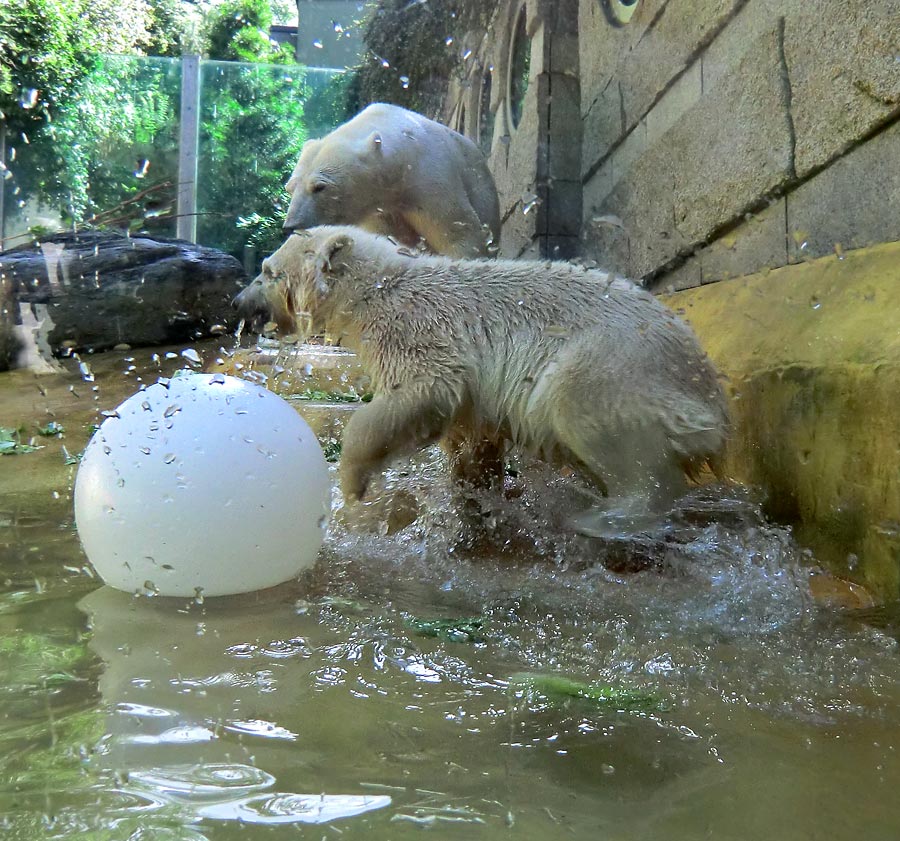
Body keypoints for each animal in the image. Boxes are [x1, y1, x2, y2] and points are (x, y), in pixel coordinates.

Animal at [234, 226, 732, 528]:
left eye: (267, 271)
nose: (239, 302)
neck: (380, 287)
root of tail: (710, 400)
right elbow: (469, 431)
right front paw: (472, 495)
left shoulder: (416, 330)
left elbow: (424, 391)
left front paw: (353, 482)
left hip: (616, 362)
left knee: (586, 408)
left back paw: (606, 517)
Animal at [284, 103, 502, 258]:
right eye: (290, 187)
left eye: (319, 187)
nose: (292, 225)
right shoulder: (377, 210)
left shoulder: (430, 179)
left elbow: (458, 230)